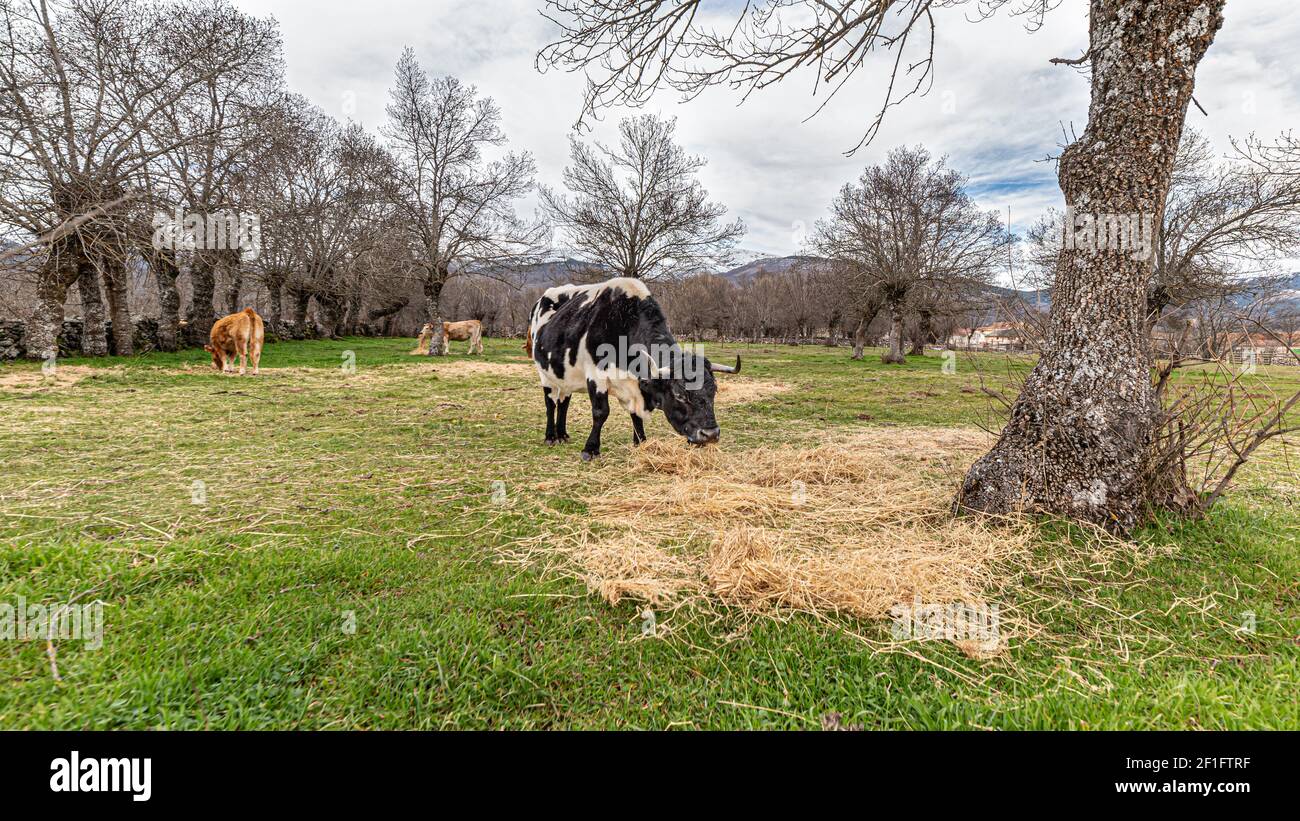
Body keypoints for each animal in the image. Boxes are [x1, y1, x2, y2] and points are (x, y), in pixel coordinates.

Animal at [528, 277, 739, 461]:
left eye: (714, 390)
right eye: (679, 395)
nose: (710, 434)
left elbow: (636, 415)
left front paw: (641, 442)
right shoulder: (596, 377)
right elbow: (600, 412)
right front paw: (590, 449)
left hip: (565, 377)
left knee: (564, 402)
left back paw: (563, 434)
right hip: (545, 375)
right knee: (551, 402)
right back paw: (551, 436)